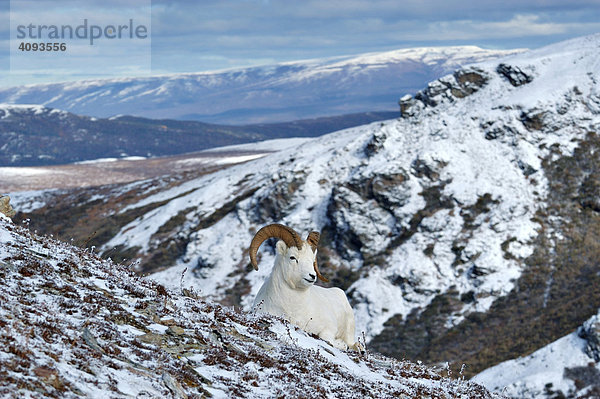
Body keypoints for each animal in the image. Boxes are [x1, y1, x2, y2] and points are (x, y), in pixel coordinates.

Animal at [248, 223, 360, 352]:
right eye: (292, 257)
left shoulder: (329, 327)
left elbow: (326, 337)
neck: (293, 309)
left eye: (312, 260)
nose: (312, 276)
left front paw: (341, 344)